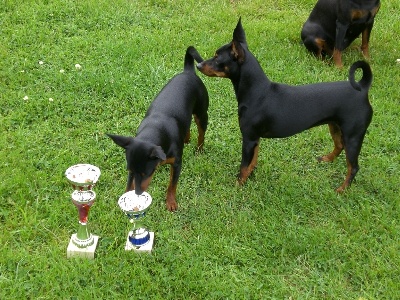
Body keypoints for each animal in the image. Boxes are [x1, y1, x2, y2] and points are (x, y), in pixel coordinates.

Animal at [109, 47, 209, 211]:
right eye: (130, 171)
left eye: (146, 173)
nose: (138, 193)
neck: (153, 131)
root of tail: (188, 71)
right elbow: (128, 184)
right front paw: (126, 198)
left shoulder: (177, 163)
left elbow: (172, 185)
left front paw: (171, 202)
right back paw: (186, 139)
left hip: (201, 114)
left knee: (201, 133)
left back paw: (199, 150)